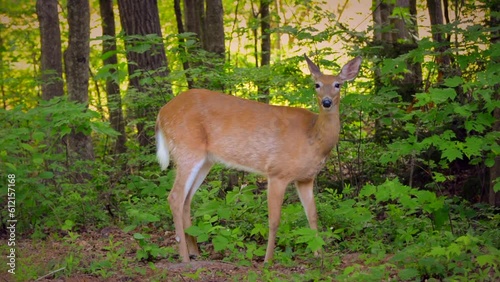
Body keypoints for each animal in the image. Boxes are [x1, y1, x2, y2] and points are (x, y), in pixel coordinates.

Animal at [155, 54, 360, 262]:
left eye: (338, 84)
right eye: (317, 84)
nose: (327, 102)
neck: (313, 138)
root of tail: (161, 113)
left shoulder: (306, 178)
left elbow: (312, 215)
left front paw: (320, 255)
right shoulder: (277, 172)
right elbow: (274, 220)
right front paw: (268, 260)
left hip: (205, 160)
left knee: (187, 199)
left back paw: (195, 252)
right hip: (187, 149)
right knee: (175, 197)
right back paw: (185, 258)